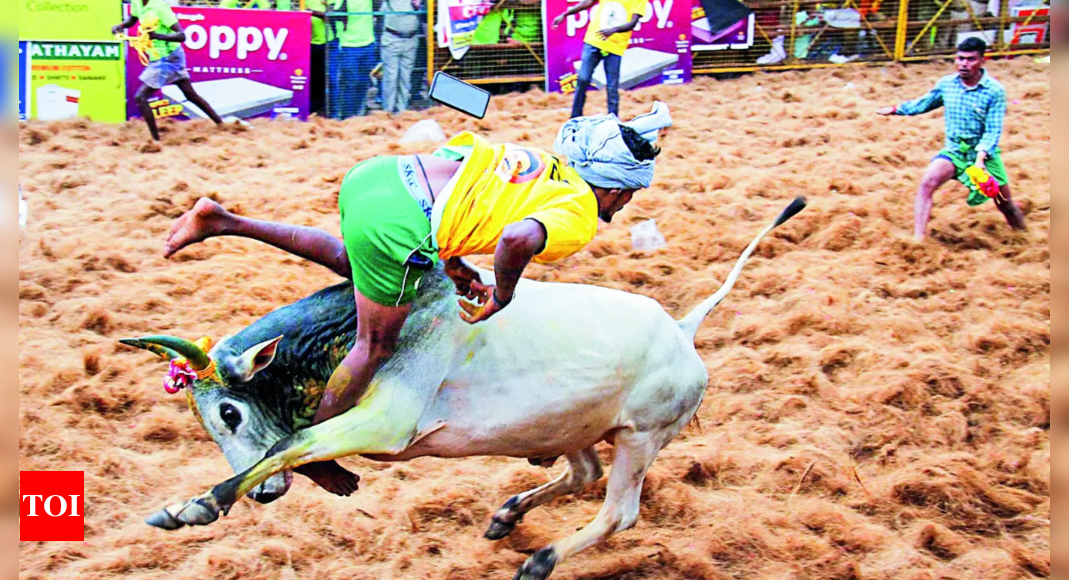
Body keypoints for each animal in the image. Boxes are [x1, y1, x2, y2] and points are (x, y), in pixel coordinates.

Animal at [121, 197, 803, 576]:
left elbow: (290, 444)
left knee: (619, 512)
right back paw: (507, 515)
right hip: (574, 426)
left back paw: (540, 561)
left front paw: (195, 505)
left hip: (641, 438)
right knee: (581, 474)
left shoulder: (387, 424)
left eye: (229, 413)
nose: (266, 499)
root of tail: (682, 331)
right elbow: (297, 447)